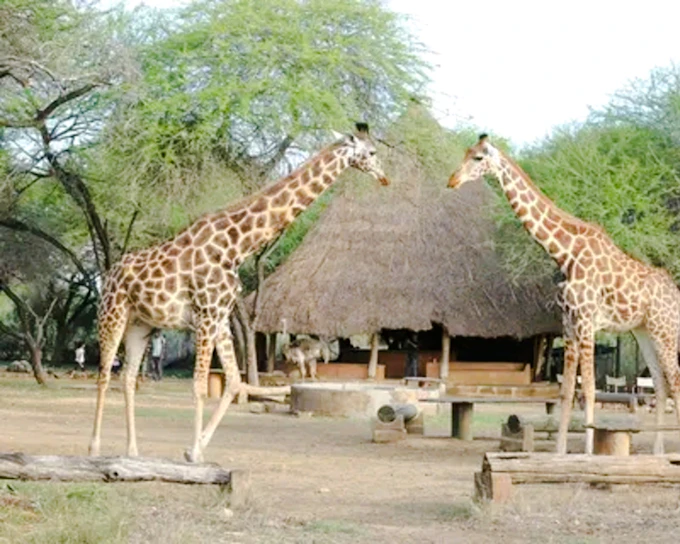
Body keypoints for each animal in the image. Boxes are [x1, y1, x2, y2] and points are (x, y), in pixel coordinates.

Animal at [89, 123, 389, 463]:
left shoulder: (219, 317)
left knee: (127, 377)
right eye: (372, 152)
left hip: (141, 325)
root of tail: (109, 273)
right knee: (104, 374)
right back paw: (95, 448)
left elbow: (233, 382)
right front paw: (195, 453)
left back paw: (132, 451)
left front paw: (194, 449)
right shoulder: (206, 316)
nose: (384, 177)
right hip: (112, 315)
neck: (236, 247)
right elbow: (199, 385)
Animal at [448, 134, 680, 455]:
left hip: (665, 331)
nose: (452, 180)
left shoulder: (586, 320)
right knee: (660, 383)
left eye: (479, 158)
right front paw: (559, 451)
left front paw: (588, 452)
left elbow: (590, 388)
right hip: (644, 332)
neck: (565, 252)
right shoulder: (568, 323)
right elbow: (567, 390)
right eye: (466, 153)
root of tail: (676, 294)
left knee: (675, 382)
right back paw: (658, 452)